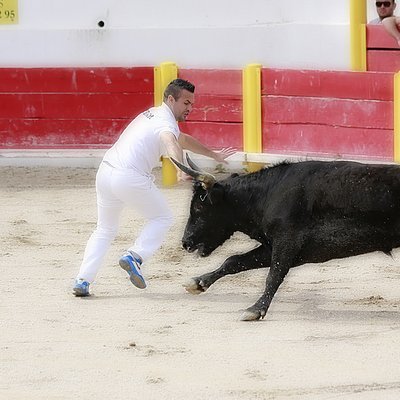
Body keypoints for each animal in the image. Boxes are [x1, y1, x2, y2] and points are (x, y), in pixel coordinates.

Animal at [171, 157, 400, 322]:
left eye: (199, 207)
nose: (185, 242)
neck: (265, 195)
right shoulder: (274, 247)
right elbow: (234, 261)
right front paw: (198, 283)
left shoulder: (286, 243)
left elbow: (274, 275)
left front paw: (255, 309)